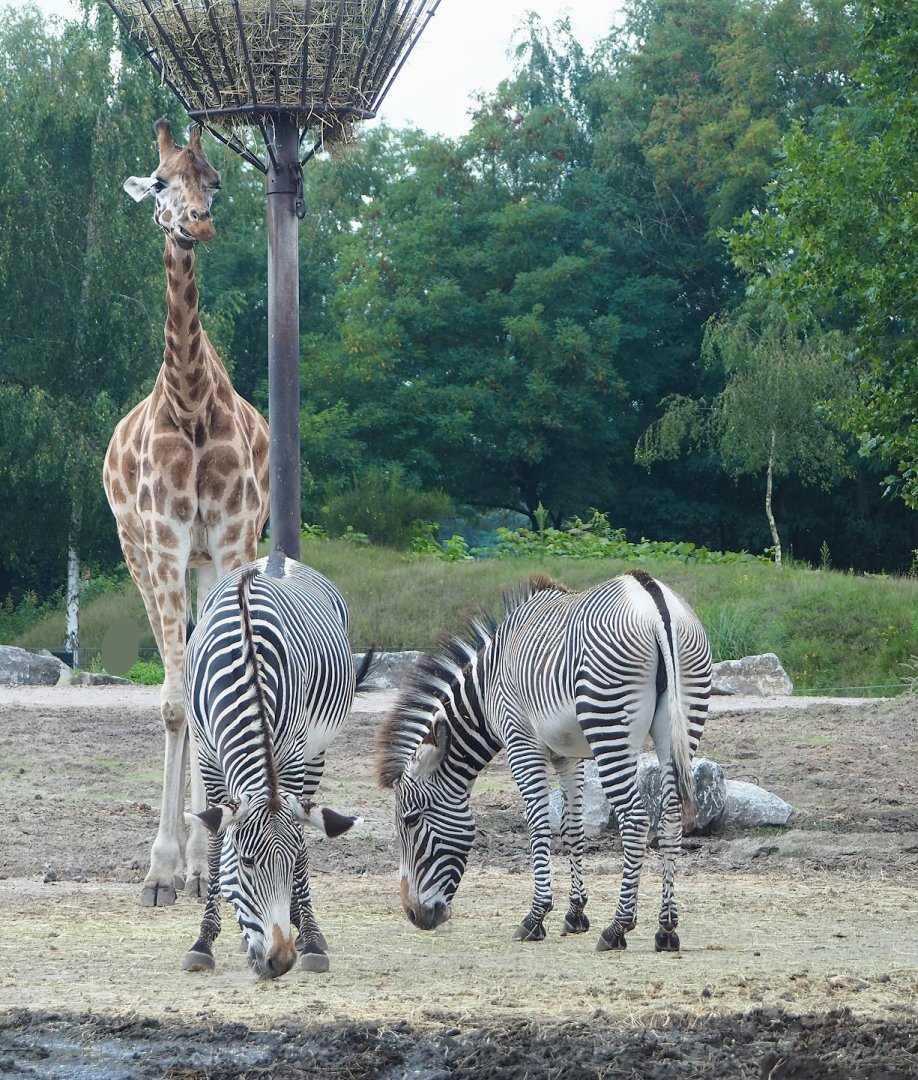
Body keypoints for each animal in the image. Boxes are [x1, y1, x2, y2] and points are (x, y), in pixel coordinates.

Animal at [181, 548, 369, 979]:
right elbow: (216, 847)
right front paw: (204, 940)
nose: (279, 961)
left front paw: (310, 939)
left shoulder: (295, 756)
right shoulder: (208, 757)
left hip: (316, 753)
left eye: (289, 861)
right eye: (247, 862)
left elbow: (300, 840)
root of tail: (278, 556)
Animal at [375, 569, 712, 953]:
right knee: (670, 819)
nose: (414, 915)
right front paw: (575, 913)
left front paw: (535, 917)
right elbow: (573, 827)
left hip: (610, 726)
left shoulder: (521, 743)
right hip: (682, 720)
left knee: (637, 819)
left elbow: (538, 823)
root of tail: (652, 596)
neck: (487, 687)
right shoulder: (569, 755)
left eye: (410, 819)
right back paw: (666, 929)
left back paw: (617, 928)